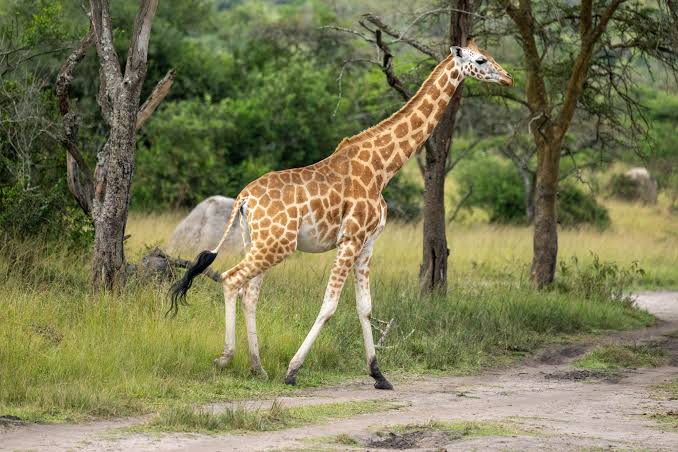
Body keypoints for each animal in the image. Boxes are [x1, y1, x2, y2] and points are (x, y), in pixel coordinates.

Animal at [169, 39, 513, 389]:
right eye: (481, 60)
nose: (509, 78)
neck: (383, 167)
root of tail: (243, 198)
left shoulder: (368, 243)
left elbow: (365, 307)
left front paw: (379, 374)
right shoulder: (350, 239)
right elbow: (330, 305)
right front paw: (293, 370)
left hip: (259, 241)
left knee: (249, 292)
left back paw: (257, 367)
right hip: (276, 244)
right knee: (231, 279)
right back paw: (226, 358)